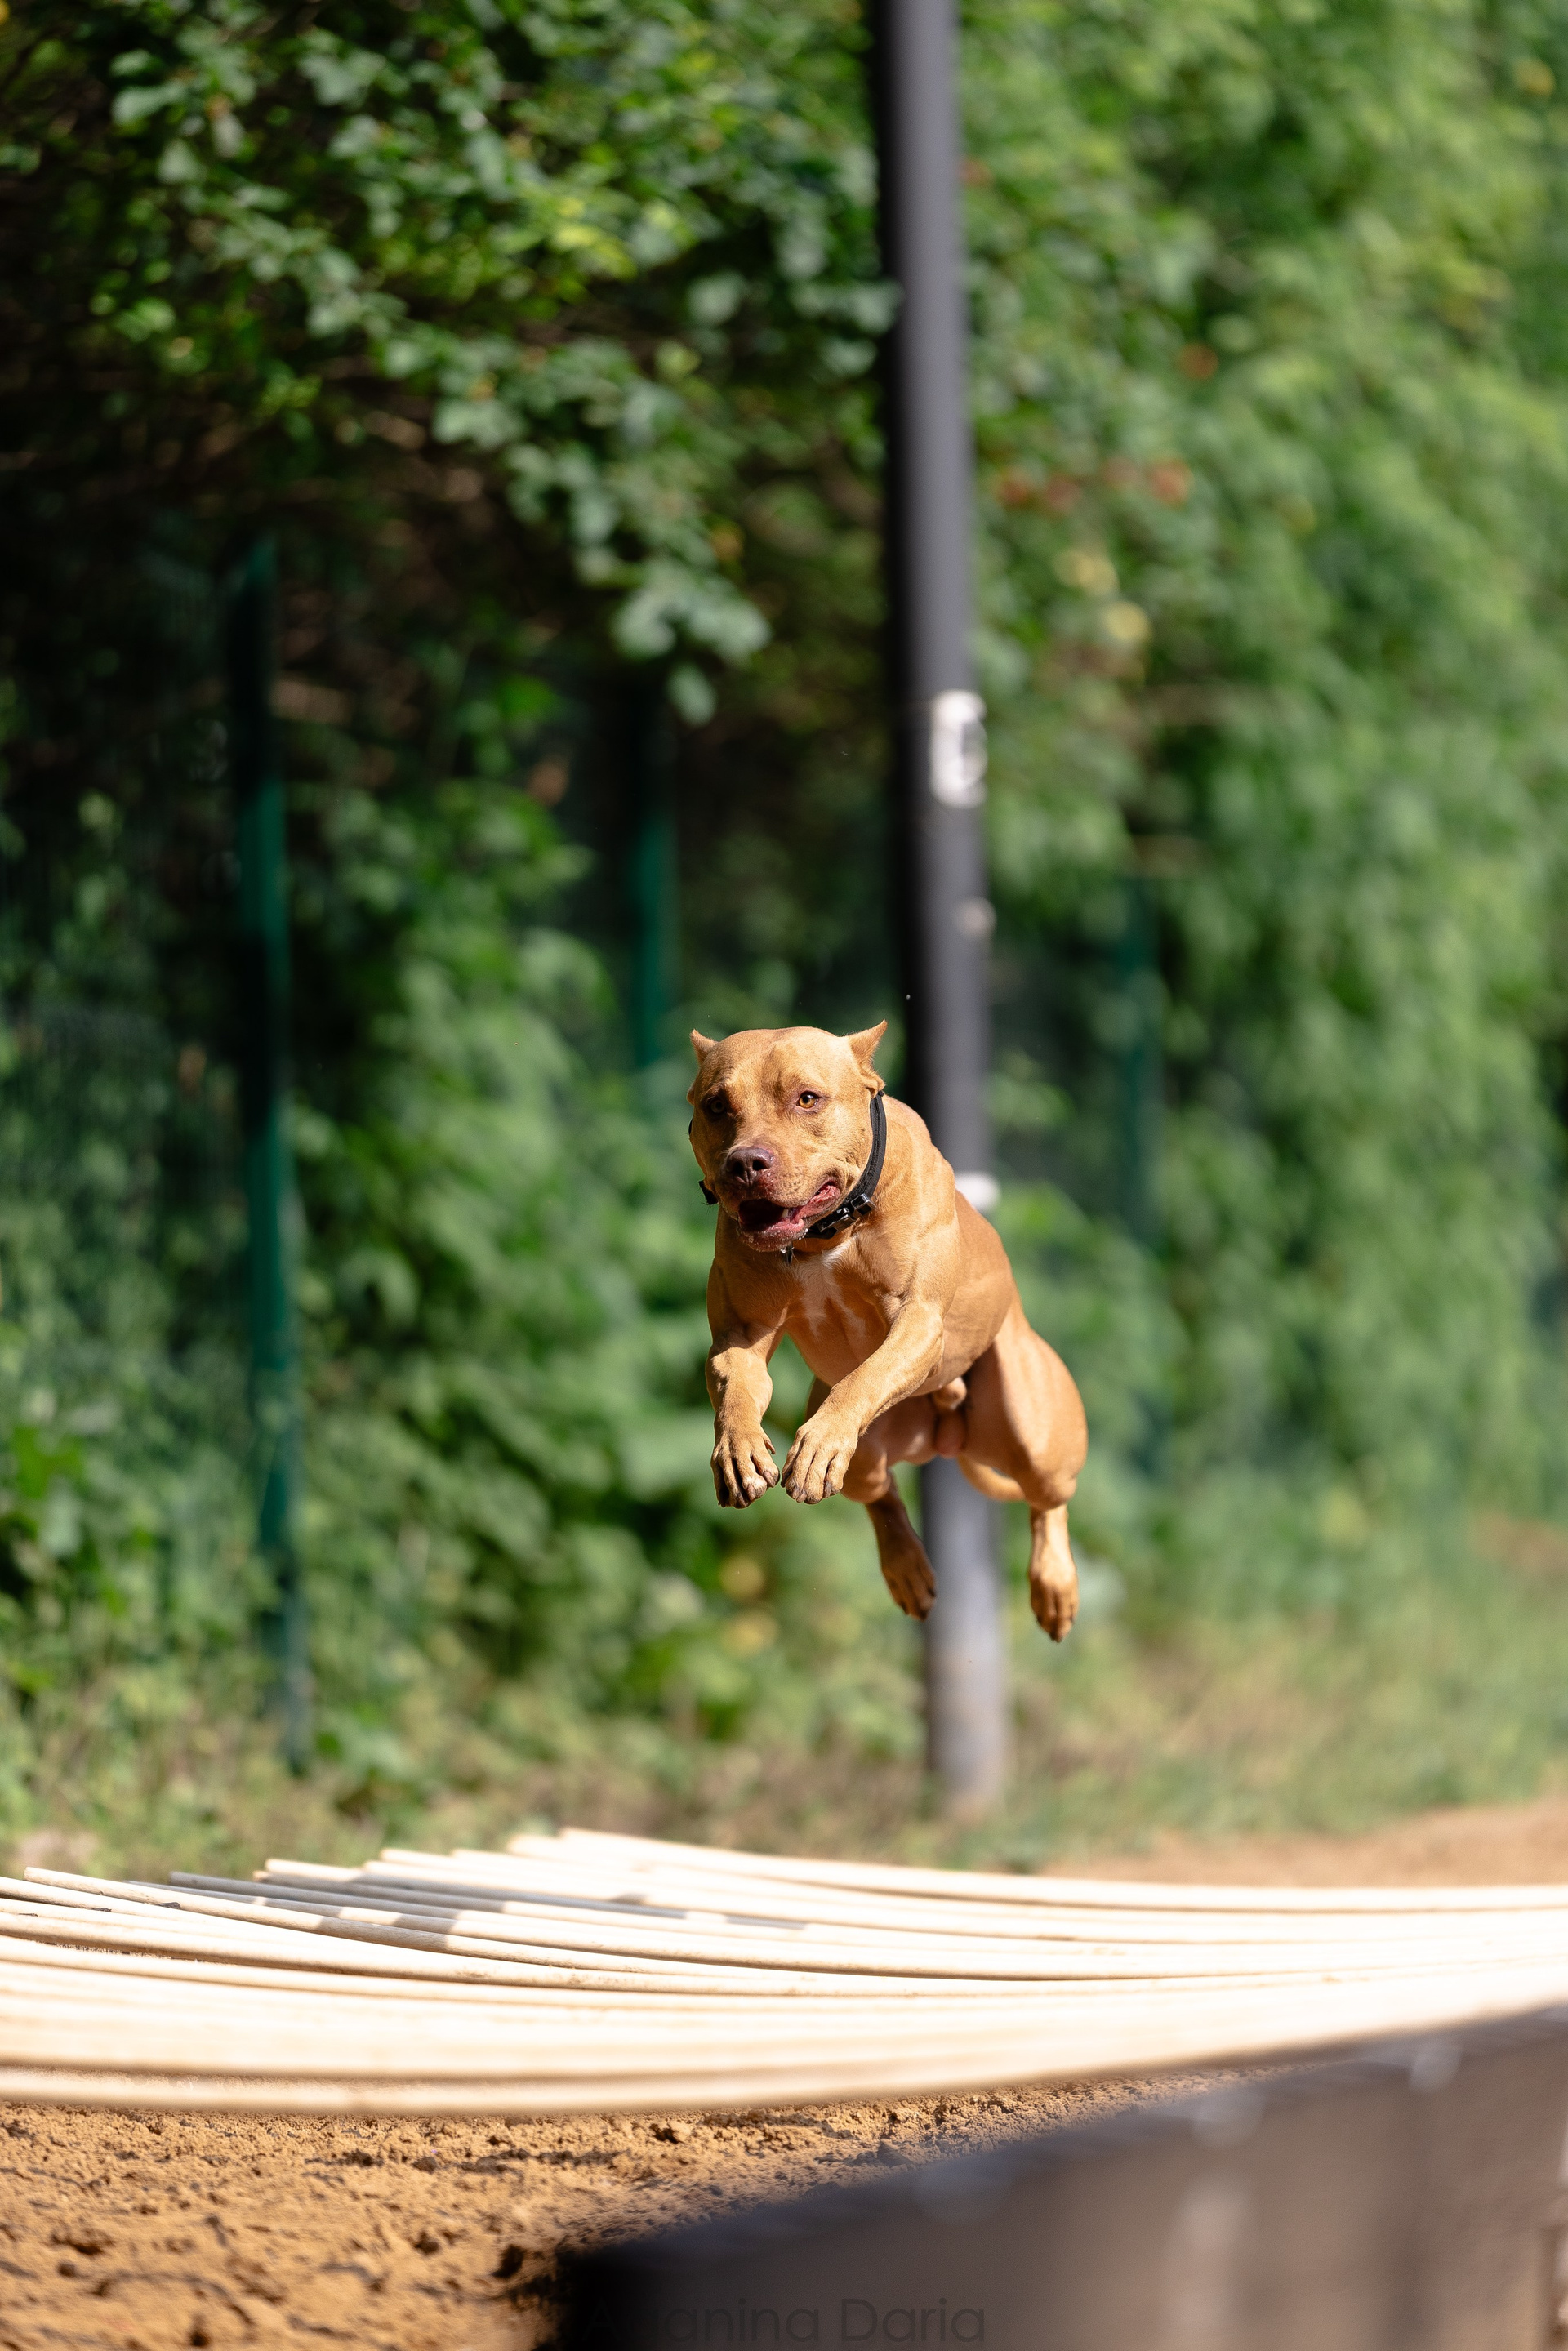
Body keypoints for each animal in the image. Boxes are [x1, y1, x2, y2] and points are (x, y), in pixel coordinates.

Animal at [688, 1021, 1087, 1637]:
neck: (826, 1233)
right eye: (716, 1105)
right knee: (881, 1496)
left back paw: (1054, 1584)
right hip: (869, 1455)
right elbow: (738, 1388)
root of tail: (944, 1434)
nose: (746, 1162)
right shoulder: (740, 1335)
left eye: (807, 1099)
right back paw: (906, 1568)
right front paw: (739, 1450)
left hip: (1034, 1430)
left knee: (1048, 1502)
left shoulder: (918, 1321)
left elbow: (865, 1378)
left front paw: (821, 1442)